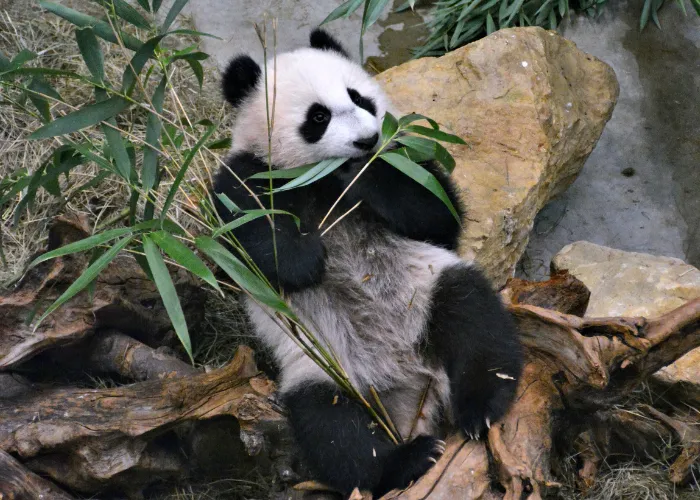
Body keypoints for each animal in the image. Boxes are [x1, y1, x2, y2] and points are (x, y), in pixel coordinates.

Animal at [213, 29, 524, 498]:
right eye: (318, 116)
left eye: (359, 97)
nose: (366, 140)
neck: (323, 180)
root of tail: (411, 388)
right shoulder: (245, 175)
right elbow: (245, 239)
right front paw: (306, 258)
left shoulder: (407, 159)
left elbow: (437, 213)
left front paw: (367, 174)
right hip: (324, 366)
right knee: (335, 429)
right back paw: (409, 460)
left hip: (428, 290)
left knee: (475, 322)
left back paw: (479, 407)